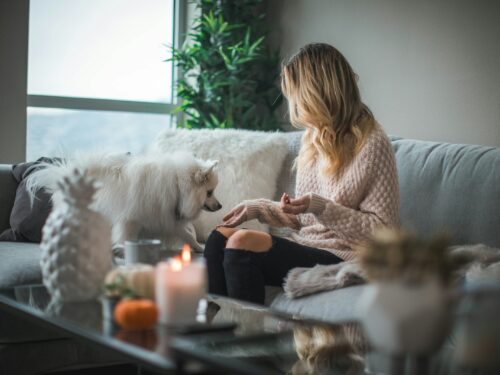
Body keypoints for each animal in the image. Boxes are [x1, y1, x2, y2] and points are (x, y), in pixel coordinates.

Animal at [26, 151, 220, 253]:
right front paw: (121, 249)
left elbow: (187, 235)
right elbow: (125, 236)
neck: (178, 185)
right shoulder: (131, 219)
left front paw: (199, 247)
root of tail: (64, 174)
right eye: (209, 192)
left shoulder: (167, 217)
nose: (221, 206)